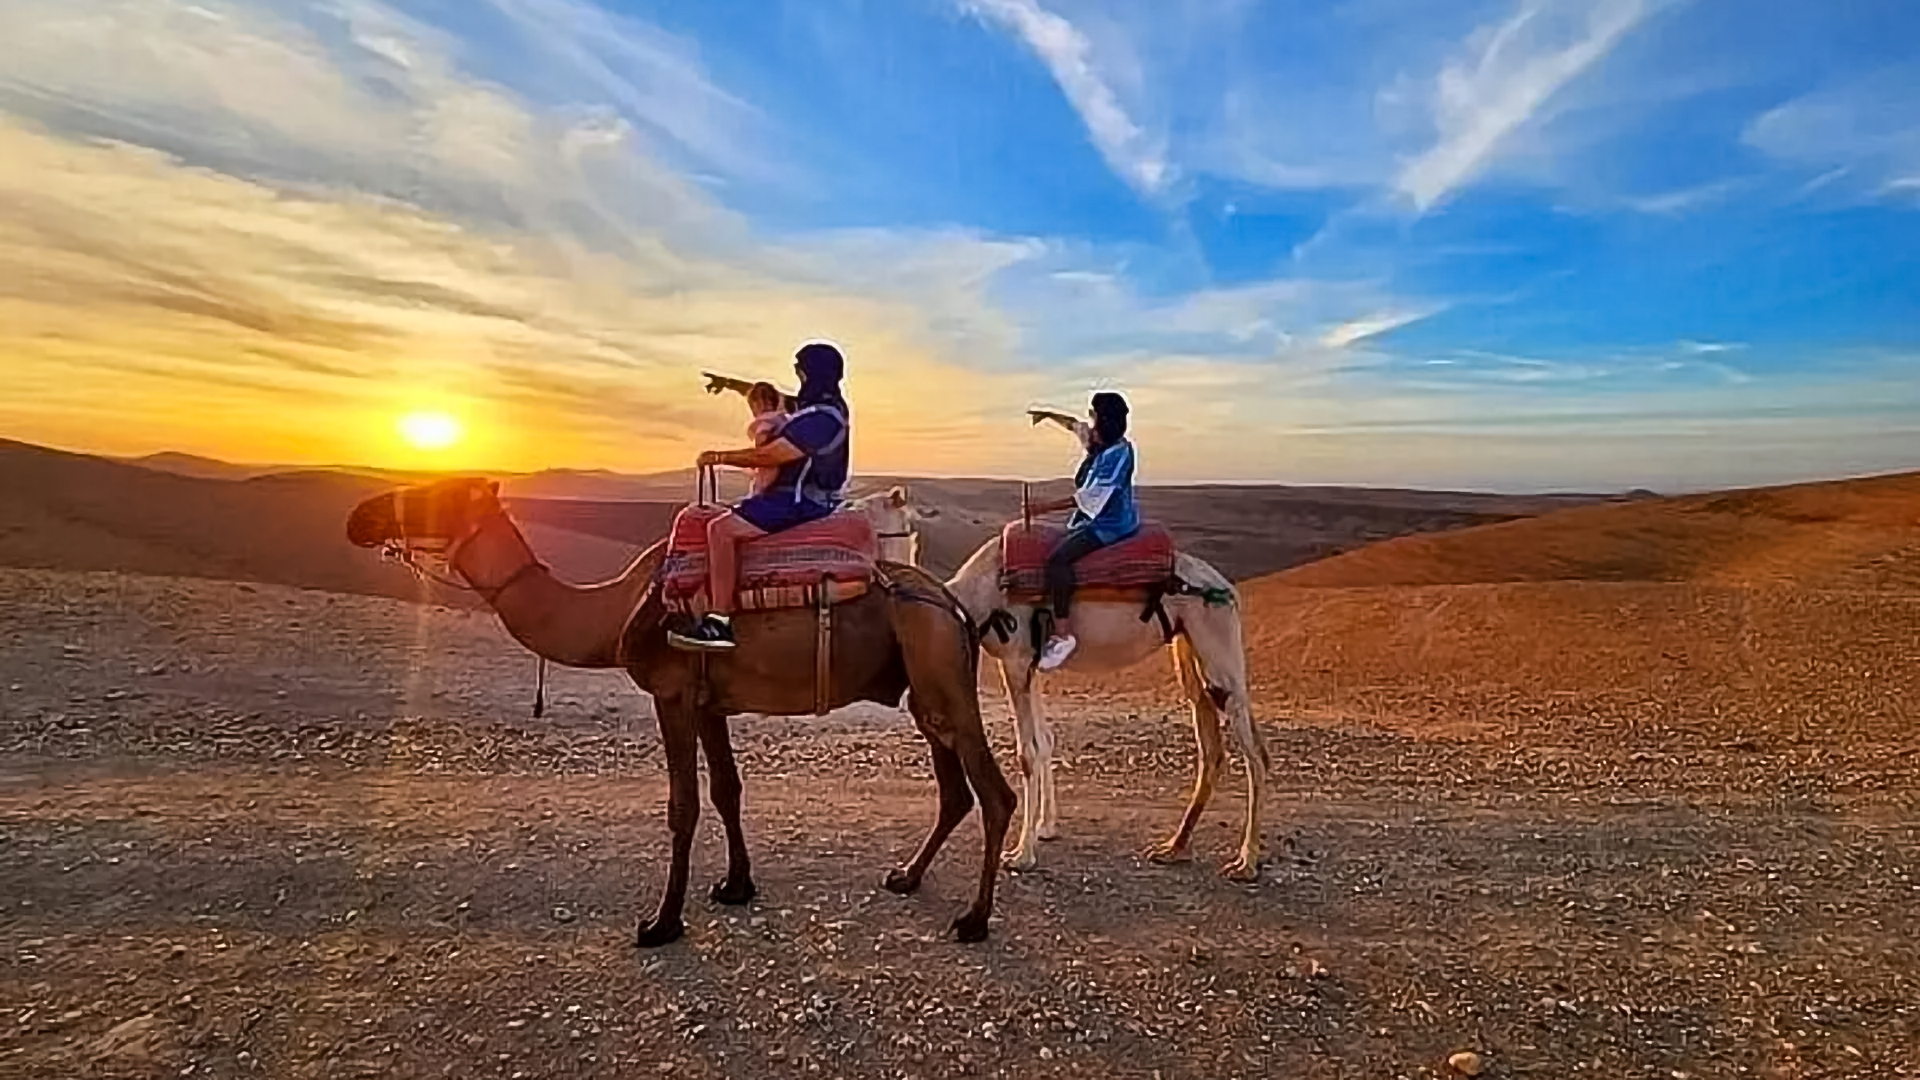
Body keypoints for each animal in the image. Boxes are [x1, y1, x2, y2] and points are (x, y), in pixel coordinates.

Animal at [341, 474, 1021, 937]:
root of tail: (955, 605)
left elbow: (682, 806)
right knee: (955, 790)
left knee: (995, 792)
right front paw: (735, 886)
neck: (612, 609)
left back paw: (973, 918)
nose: (358, 517)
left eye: (436, 493)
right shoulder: (708, 701)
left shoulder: (670, 694)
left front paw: (662, 922)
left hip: (941, 672)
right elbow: (726, 789)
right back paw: (906, 877)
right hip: (925, 687)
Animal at [894, 491, 1274, 880]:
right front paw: (1046, 828)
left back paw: (1246, 861)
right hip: (1188, 643)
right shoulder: (1028, 665)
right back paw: (1173, 848)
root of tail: (1226, 588)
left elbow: (1027, 752)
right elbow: (1045, 742)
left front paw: (1021, 854)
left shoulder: (1015, 660)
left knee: (1254, 751)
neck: (978, 591)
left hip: (1218, 643)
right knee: (1210, 740)